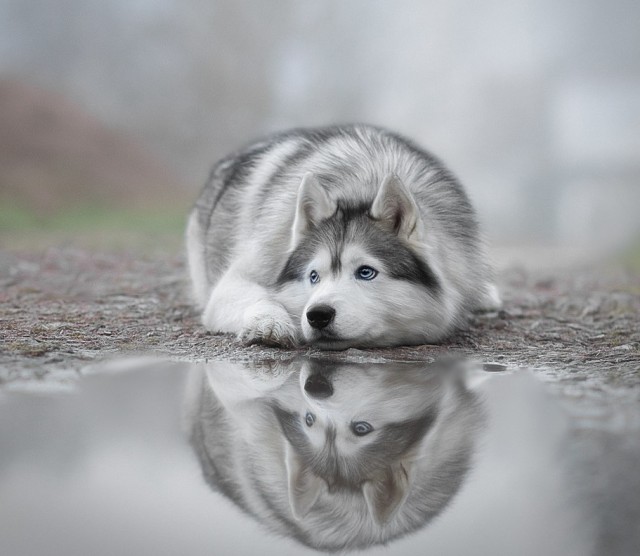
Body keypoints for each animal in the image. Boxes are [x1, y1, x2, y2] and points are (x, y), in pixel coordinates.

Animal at [185, 125, 500, 348]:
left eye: (366, 272)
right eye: (313, 276)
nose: (317, 314)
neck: (360, 189)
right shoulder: (234, 283)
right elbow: (260, 296)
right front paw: (270, 323)